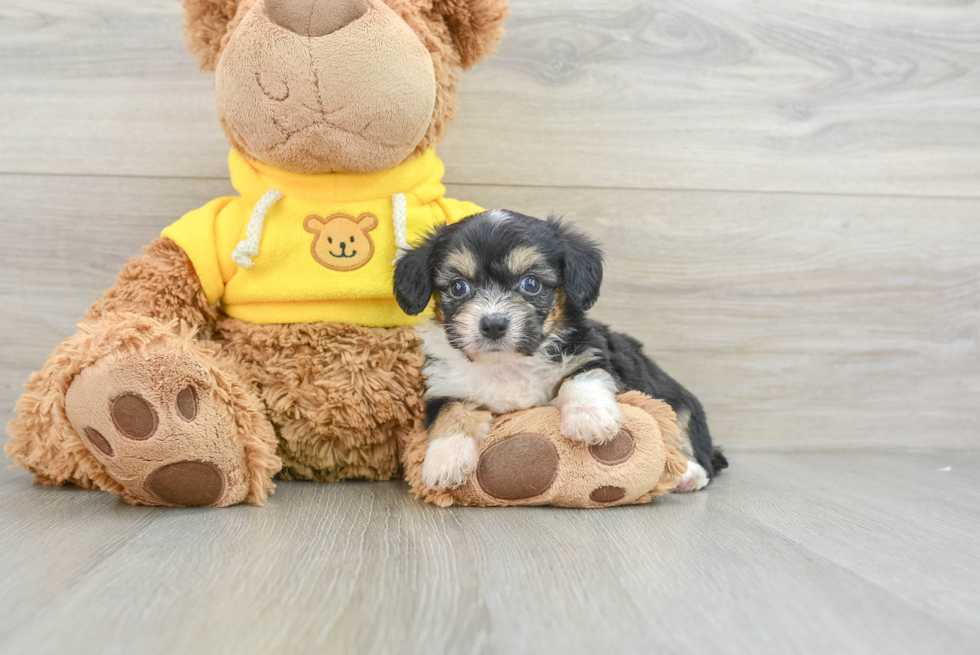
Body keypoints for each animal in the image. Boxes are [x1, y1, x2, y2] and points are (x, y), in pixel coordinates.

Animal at [392, 210, 728, 492]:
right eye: (459, 287)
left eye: (531, 283)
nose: (493, 324)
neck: (508, 363)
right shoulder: (444, 387)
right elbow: (450, 414)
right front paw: (444, 461)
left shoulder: (591, 352)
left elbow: (580, 378)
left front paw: (590, 419)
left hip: (680, 403)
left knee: (692, 443)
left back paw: (687, 473)